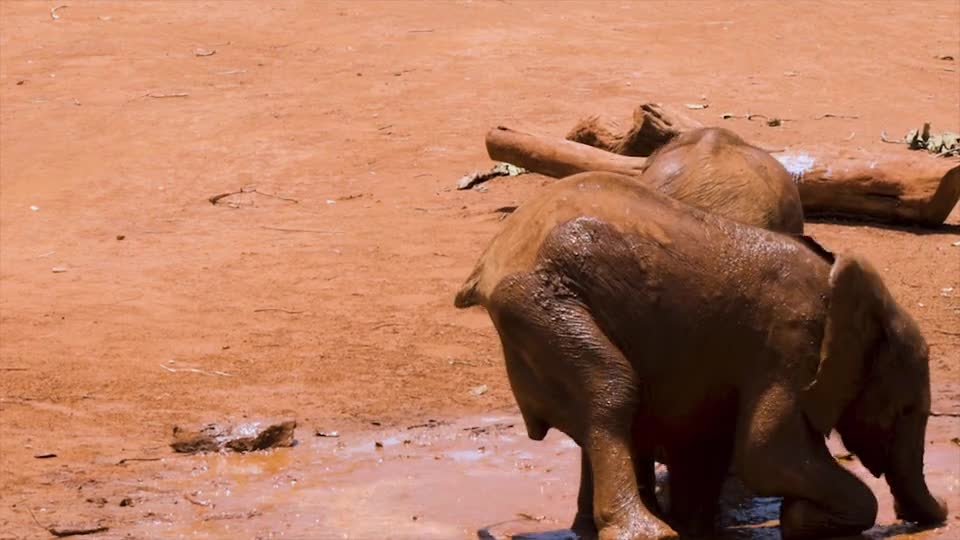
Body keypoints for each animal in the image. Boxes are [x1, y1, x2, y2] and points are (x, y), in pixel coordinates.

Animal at [456, 173, 944, 540]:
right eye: (905, 409)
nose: (937, 516)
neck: (842, 284)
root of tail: (491, 257)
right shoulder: (790, 345)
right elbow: (769, 454)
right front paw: (802, 520)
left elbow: (710, 441)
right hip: (540, 306)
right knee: (612, 391)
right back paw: (649, 533)